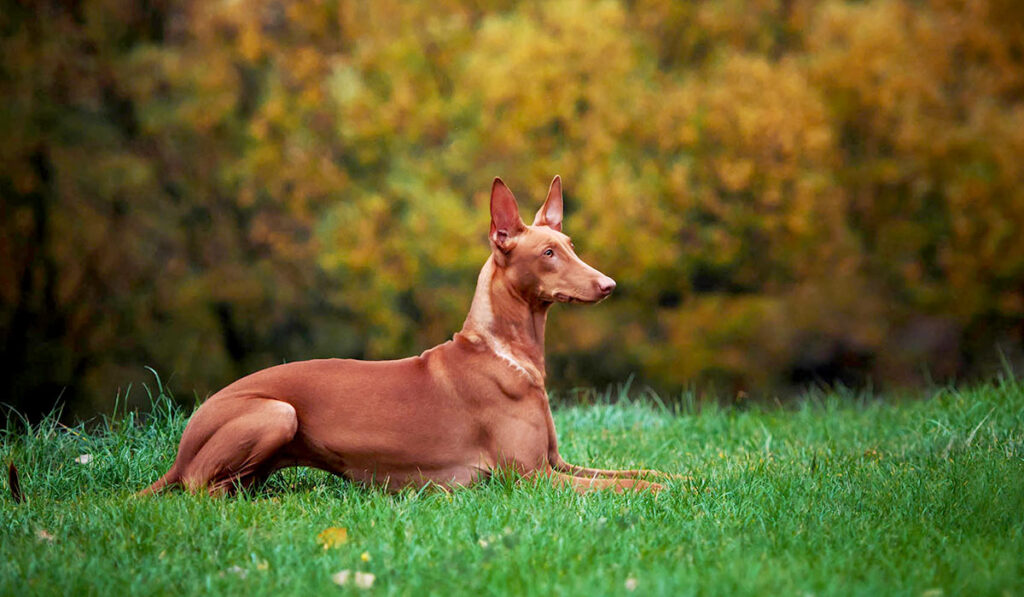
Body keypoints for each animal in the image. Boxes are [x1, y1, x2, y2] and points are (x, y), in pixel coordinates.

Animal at [140, 177, 667, 495]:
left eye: (570, 246)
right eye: (548, 254)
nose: (609, 285)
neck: (505, 355)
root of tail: (181, 447)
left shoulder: (557, 463)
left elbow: (644, 470)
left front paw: (682, 477)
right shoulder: (530, 477)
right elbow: (629, 486)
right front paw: (666, 494)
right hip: (276, 412)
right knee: (202, 493)